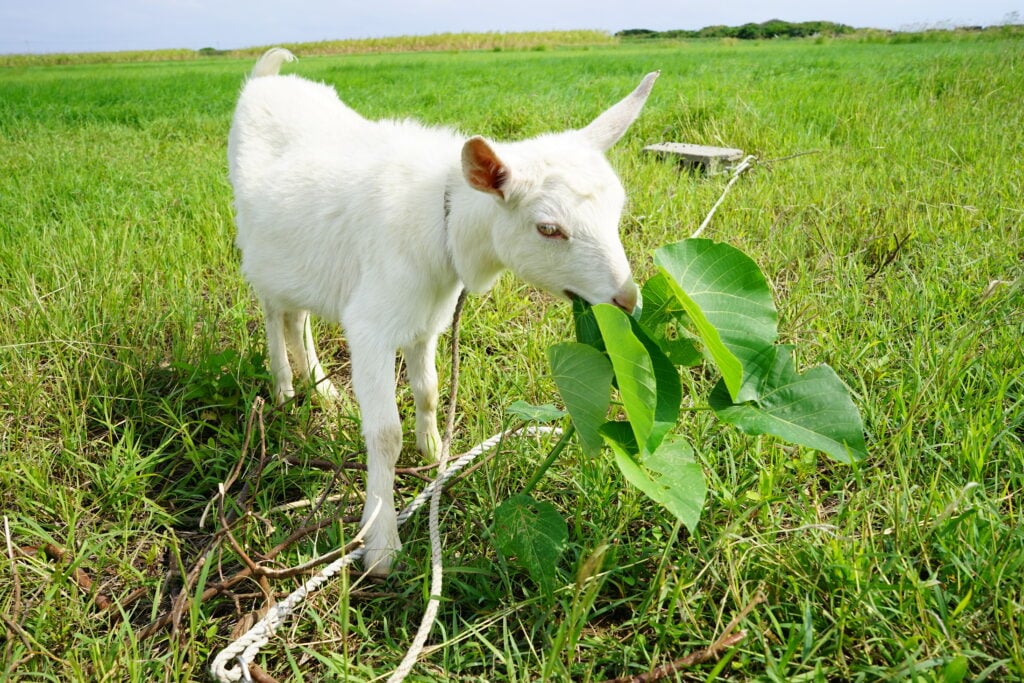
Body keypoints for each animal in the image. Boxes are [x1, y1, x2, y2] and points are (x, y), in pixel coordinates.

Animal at [229, 45, 659, 573]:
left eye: (617, 211)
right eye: (548, 229)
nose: (626, 298)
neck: (444, 216)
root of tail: (267, 75)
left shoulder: (426, 317)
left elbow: (430, 390)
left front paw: (433, 450)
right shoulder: (370, 326)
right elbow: (384, 434)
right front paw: (381, 545)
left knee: (298, 316)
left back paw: (324, 391)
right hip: (258, 249)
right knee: (273, 313)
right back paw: (285, 387)